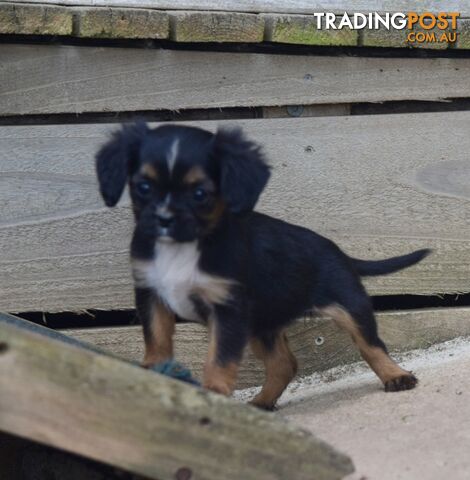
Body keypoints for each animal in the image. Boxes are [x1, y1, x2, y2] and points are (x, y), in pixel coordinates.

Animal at [95, 123, 430, 408]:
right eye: (143, 187)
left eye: (200, 193)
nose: (163, 219)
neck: (184, 247)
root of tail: (338, 251)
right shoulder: (151, 295)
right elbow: (157, 341)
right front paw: (153, 375)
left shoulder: (227, 310)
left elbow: (219, 357)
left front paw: (214, 392)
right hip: (262, 325)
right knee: (284, 365)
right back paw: (262, 402)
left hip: (349, 307)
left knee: (371, 345)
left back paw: (396, 376)